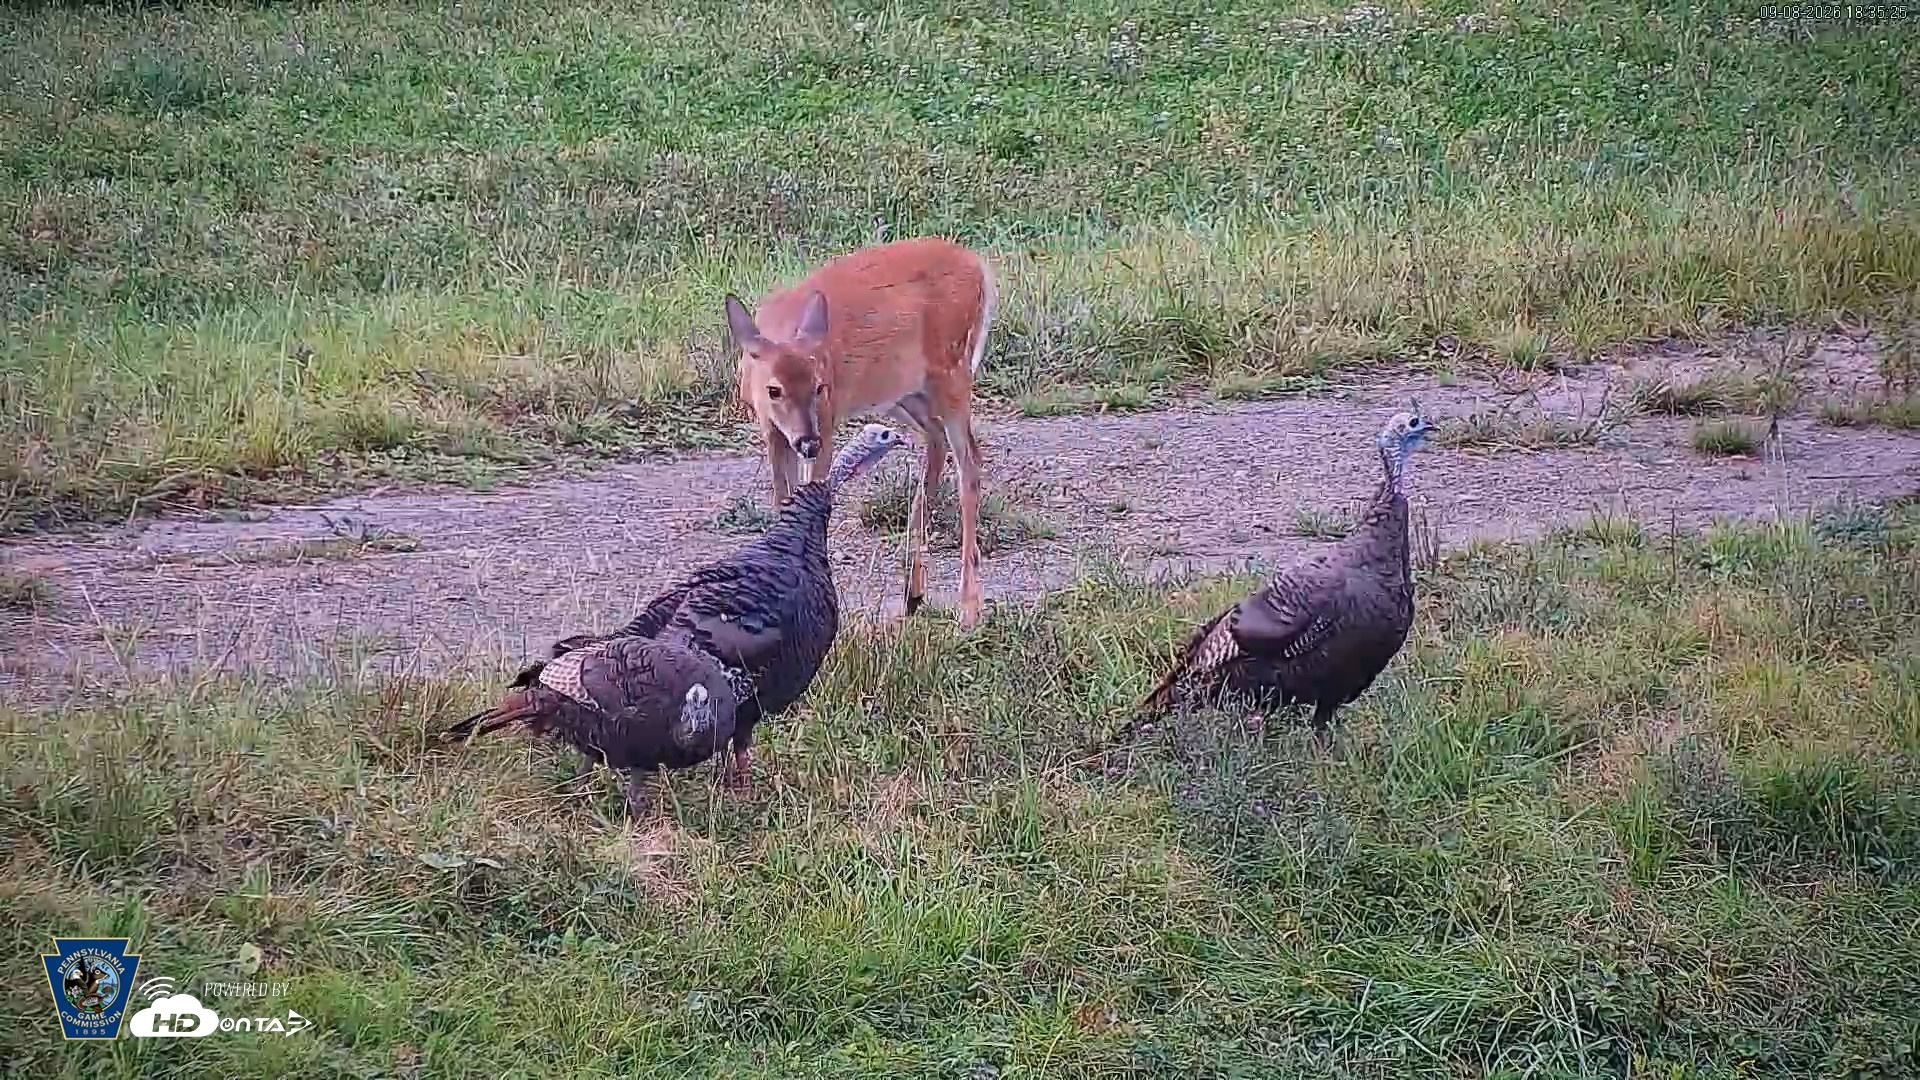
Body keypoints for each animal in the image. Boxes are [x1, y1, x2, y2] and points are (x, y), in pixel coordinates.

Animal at [723, 236, 997, 628]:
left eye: (820, 386)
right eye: (774, 390)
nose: (808, 441)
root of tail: (979, 266)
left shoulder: (828, 420)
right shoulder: (772, 430)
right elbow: (781, 500)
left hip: (953, 368)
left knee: (969, 462)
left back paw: (969, 608)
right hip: (902, 391)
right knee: (936, 440)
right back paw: (912, 595)